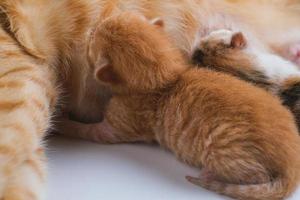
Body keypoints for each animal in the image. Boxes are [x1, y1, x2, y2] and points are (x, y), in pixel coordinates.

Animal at [0, 0, 300, 199]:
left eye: (96, 35)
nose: (94, 28)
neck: (166, 79)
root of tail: (292, 166)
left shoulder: (112, 128)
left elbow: (80, 130)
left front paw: (63, 122)